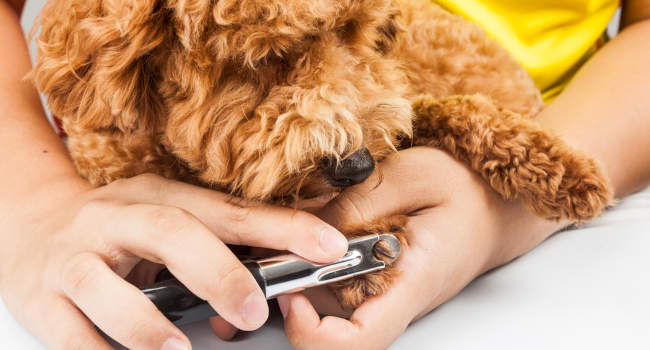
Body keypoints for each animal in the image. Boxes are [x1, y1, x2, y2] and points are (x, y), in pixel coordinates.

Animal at [31, 0, 608, 308]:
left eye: (358, 34)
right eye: (262, 57)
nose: (357, 167)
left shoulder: (395, 95)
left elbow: (444, 110)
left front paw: (563, 170)